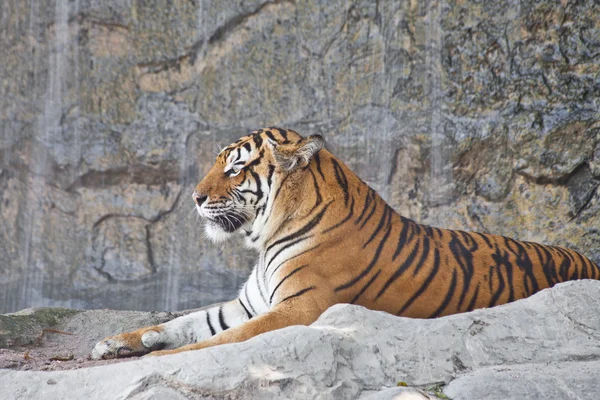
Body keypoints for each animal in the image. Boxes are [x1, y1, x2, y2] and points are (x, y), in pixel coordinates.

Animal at [90, 127, 600, 360]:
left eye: (234, 168)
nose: (195, 198)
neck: (267, 236)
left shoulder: (297, 308)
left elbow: (220, 340)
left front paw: (162, 357)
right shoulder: (248, 304)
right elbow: (187, 321)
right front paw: (117, 342)